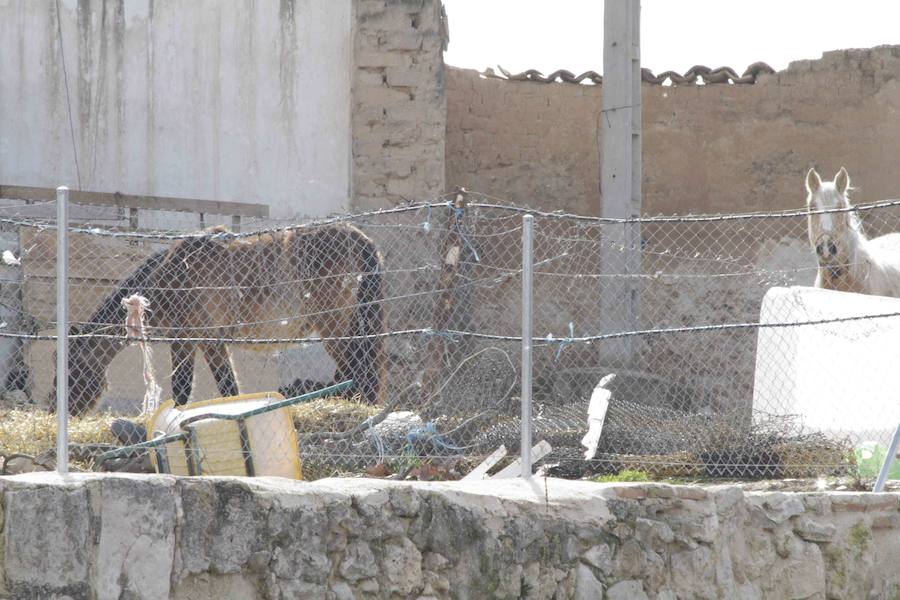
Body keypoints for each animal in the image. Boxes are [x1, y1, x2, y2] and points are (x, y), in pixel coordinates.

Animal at [52, 223, 384, 414]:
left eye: (72, 368)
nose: (60, 408)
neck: (173, 275)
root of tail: (361, 239)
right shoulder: (209, 344)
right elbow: (226, 390)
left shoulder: (189, 340)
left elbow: (186, 389)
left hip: (336, 325)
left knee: (359, 368)